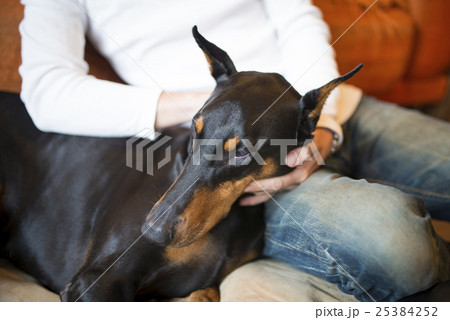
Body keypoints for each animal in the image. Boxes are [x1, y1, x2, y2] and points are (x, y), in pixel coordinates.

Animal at [0, 26, 360, 300]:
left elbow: (205, 292)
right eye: (194, 129)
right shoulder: (93, 283)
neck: (230, 219)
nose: (152, 231)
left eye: (243, 152)